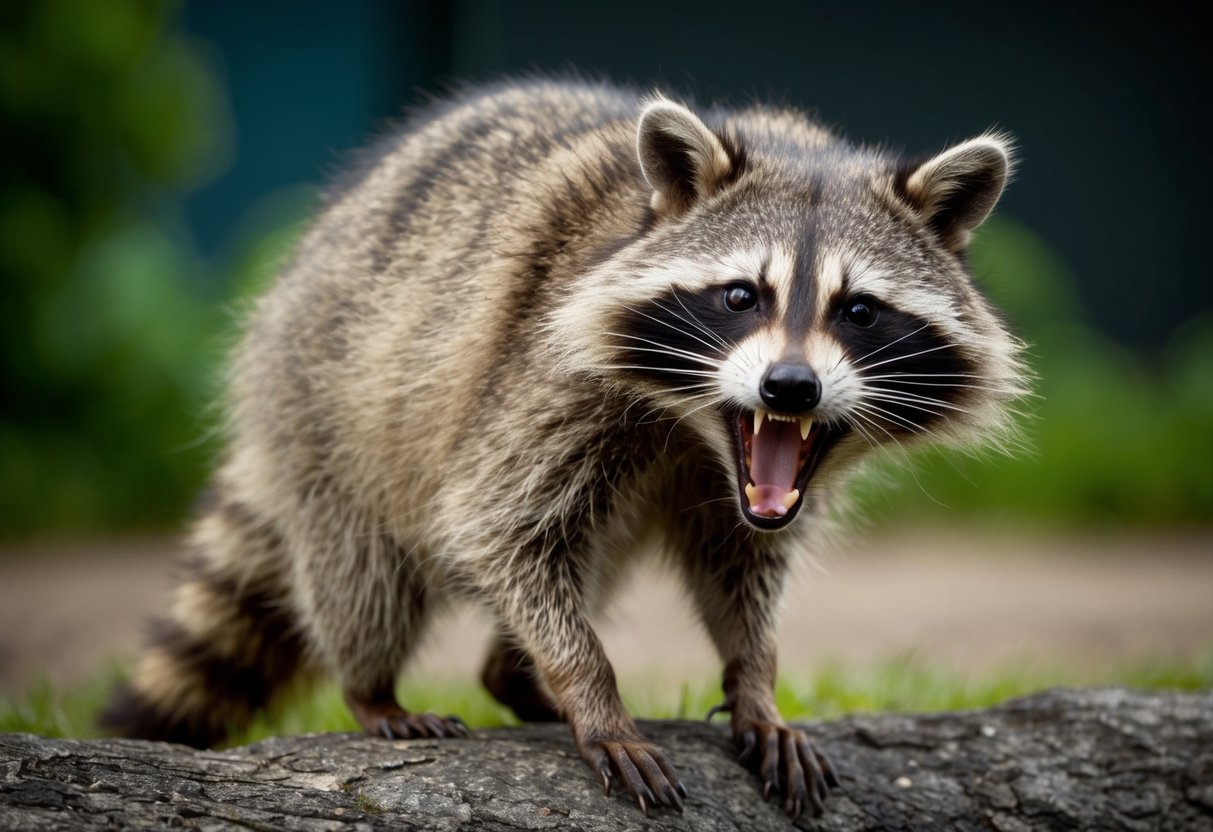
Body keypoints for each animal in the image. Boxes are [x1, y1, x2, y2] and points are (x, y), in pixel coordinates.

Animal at [102, 79, 1024, 819]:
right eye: (741, 296)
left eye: (858, 310)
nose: (788, 389)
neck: (695, 428)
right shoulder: (540, 371)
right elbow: (497, 529)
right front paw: (589, 687)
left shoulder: (767, 486)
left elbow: (742, 564)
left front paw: (754, 679)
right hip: (325, 404)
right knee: (362, 569)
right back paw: (375, 688)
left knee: (591, 555)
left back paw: (511, 677)